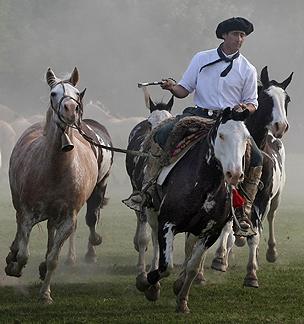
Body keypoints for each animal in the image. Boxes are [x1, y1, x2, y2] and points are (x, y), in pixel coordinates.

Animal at [5, 68, 113, 304]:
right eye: (53, 93)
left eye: (76, 93)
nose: (70, 109)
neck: (54, 169)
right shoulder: (28, 213)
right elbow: (24, 253)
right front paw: (14, 266)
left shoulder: (67, 218)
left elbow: (54, 257)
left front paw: (45, 293)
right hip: (19, 205)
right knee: (19, 231)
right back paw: (12, 257)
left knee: (52, 233)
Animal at [210, 66, 294, 286]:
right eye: (265, 98)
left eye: (287, 99)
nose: (280, 126)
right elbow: (226, 226)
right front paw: (220, 258)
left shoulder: (262, 198)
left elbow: (255, 233)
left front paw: (252, 273)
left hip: (276, 197)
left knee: (270, 218)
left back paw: (269, 252)